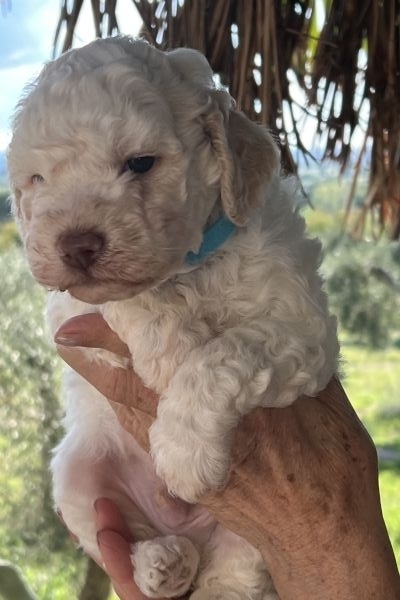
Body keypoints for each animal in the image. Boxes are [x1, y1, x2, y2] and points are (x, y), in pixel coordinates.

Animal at [7, 38, 340, 600]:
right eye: (38, 179)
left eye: (141, 163)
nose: (76, 245)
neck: (191, 265)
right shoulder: (69, 315)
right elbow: (125, 299)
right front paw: (169, 349)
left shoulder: (303, 328)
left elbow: (226, 352)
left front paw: (184, 450)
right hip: (77, 473)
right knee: (115, 530)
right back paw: (161, 563)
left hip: (259, 536)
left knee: (236, 567)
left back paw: (203, 576)